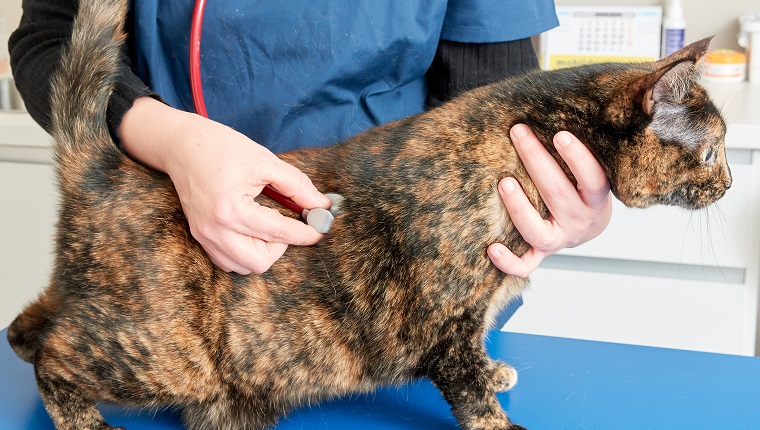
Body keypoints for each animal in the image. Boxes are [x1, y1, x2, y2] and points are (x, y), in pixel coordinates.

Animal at [5, 0, 732, 430]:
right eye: (714, 150)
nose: (728, 184)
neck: (530, 133)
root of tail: (104, 166)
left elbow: (481, 364)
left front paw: (499, 371)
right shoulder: (445, 321)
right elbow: (471, 393)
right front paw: (500, 415)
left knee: (30, 322)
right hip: (162, 354)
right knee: (51, 356)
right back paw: (83, 420)